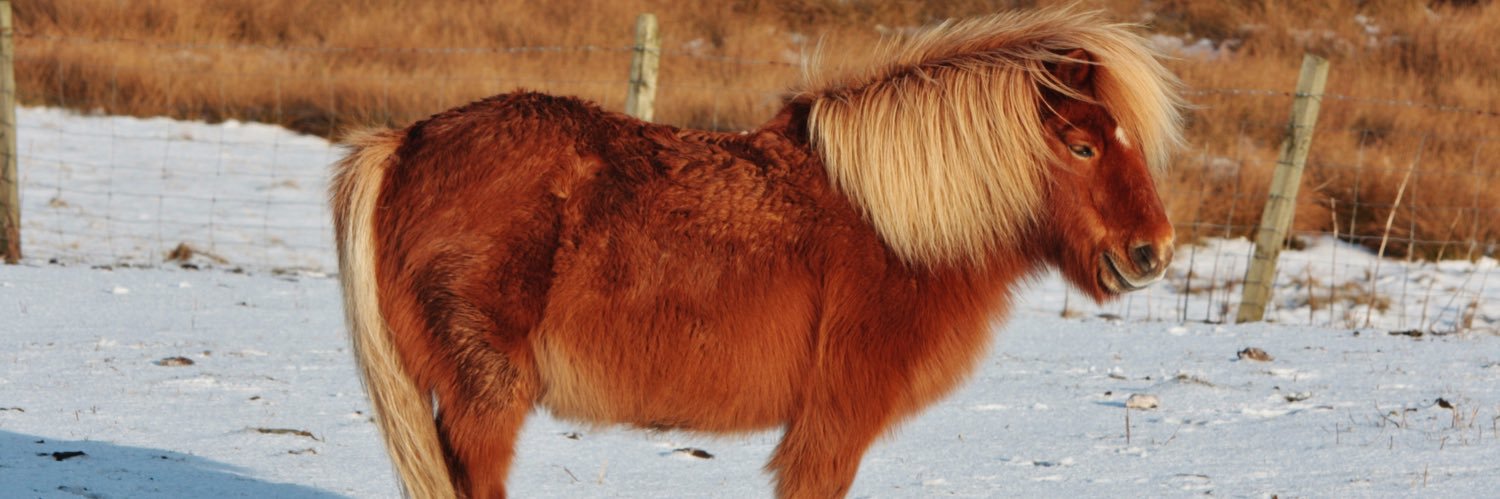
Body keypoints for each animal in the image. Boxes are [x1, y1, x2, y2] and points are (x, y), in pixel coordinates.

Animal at [330, 7, 1184, 498]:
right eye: (1081, 145)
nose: (1152, 251)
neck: (893, 225)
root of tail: (402, 144)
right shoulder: (833, 427)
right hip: (485, 402)